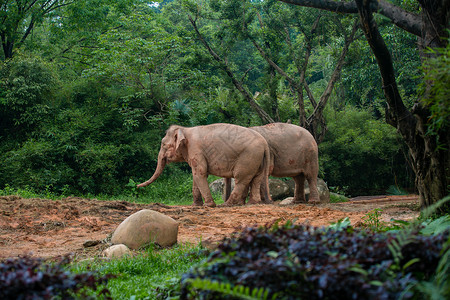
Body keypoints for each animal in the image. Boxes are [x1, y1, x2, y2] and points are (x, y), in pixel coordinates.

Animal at [137, 123, 268, 207]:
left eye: (163, 144)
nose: (137, 186)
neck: (184, 129)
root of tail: (265, 143)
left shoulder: (196, 150)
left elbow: (200, 173)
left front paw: (209, 205)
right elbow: (195, 176)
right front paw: (195, 205)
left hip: (248, 158)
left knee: (241, 179)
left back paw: (226, 204)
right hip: (257, 159)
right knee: (256, 178)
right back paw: (252, 203)